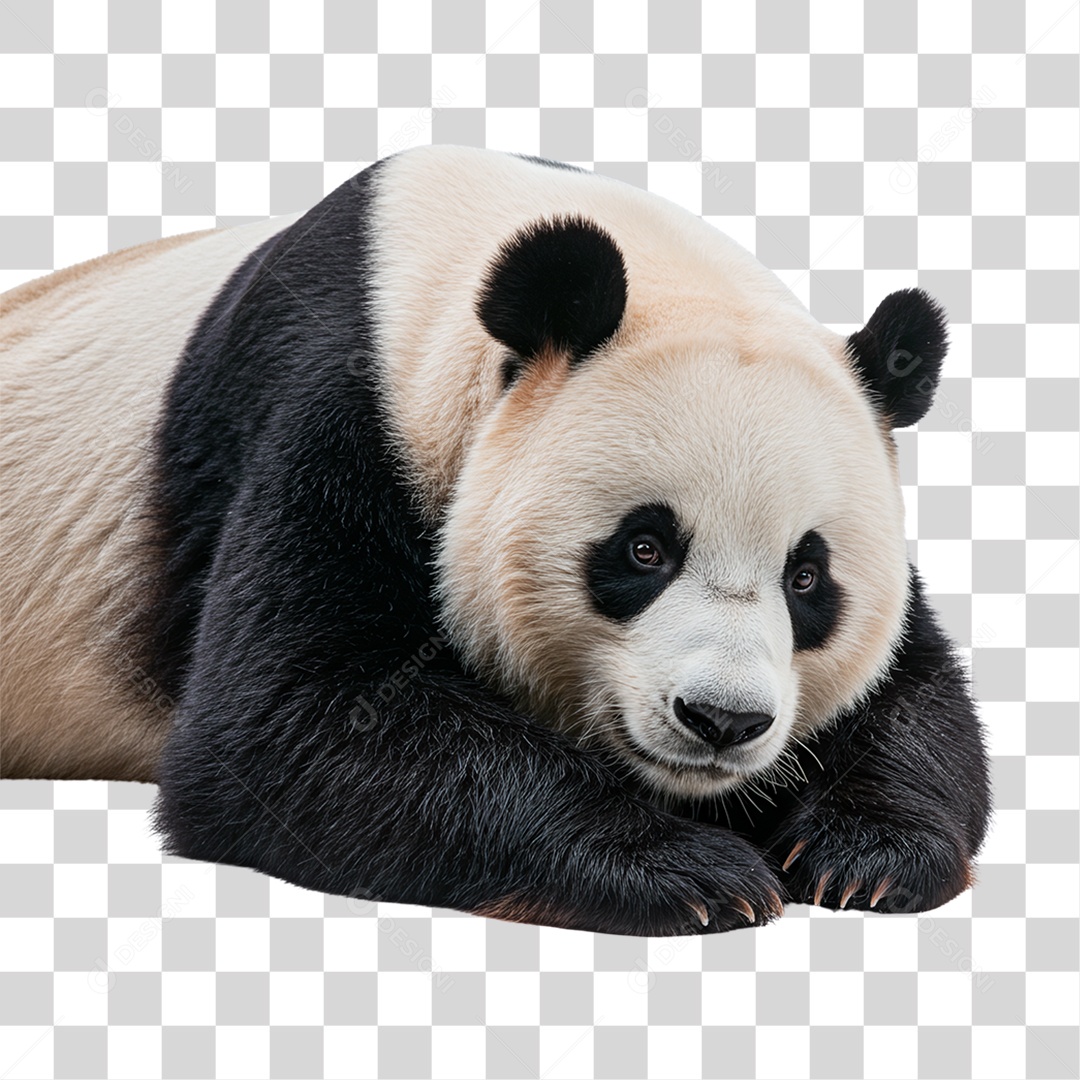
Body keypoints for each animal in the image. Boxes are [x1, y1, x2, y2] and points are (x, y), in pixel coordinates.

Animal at [0, 145, 991, 936]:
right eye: (643, 550)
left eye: (807, 578)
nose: (722, 721)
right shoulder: (339, 405)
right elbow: (284, 725)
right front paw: (695, 873)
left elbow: (918, 700)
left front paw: (863, 854)